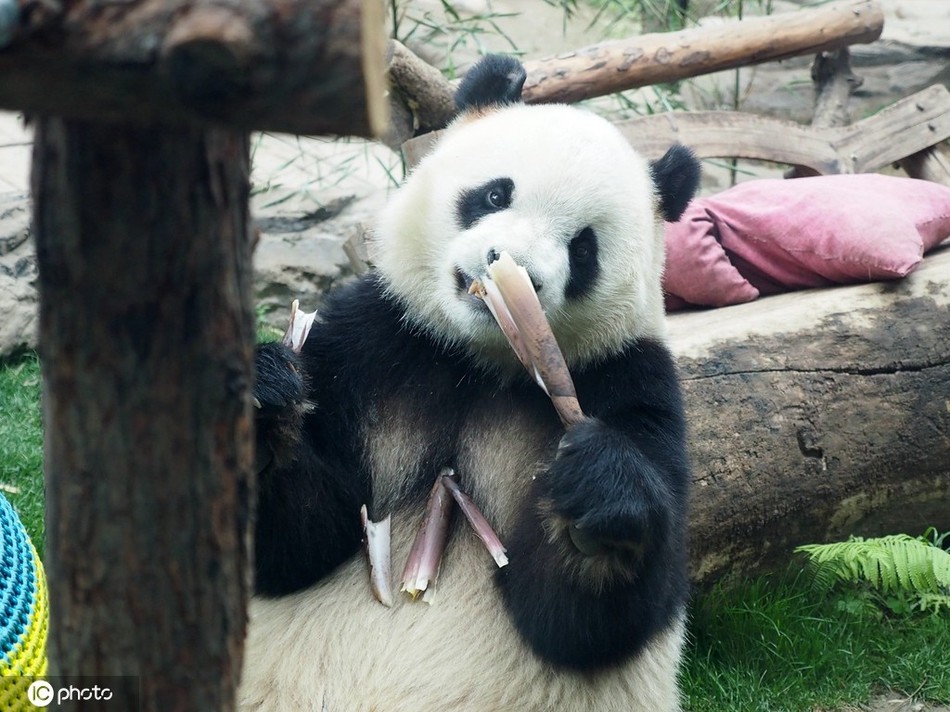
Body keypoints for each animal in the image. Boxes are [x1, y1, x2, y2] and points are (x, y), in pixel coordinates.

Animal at [242, 52, 704, 708]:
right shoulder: (371, 342)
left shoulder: (628, 378)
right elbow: (302, 542)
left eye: (584, 249)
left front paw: (600, 492)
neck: (479, 361)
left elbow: (591, 624)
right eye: (493, 193)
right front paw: (263, 404)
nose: (514, 272)